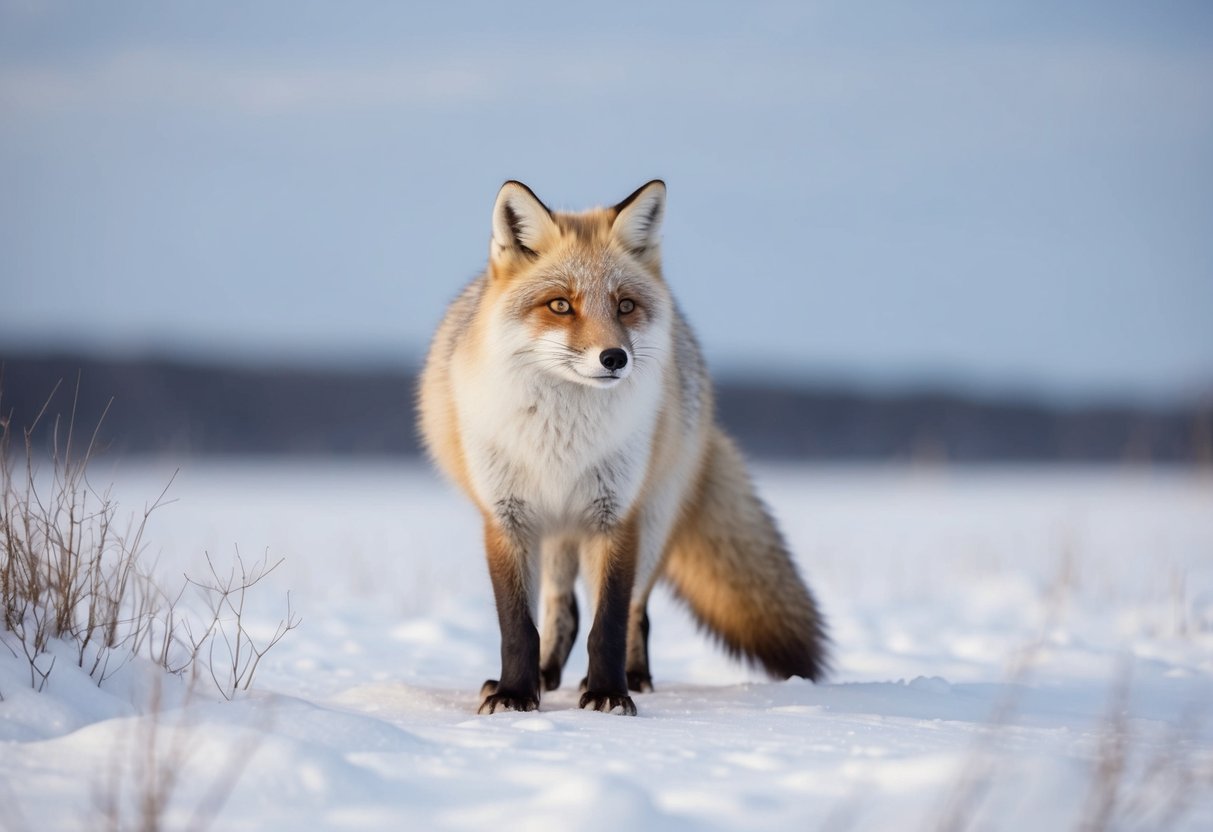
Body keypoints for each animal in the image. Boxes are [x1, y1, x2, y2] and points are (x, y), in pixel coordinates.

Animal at [417, 179, 828, 716]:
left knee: (636, 612)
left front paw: (608, 693)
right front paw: (515, 693)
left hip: (650, 526)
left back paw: (634, 676)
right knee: (563, 610)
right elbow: (518, 627)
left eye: (625, 306)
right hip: (556, 533)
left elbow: (609, 622)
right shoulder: (507, 517)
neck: (562, 442)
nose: (615, 358)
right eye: (561, 305)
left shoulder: (617, 515)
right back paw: (547, 676)